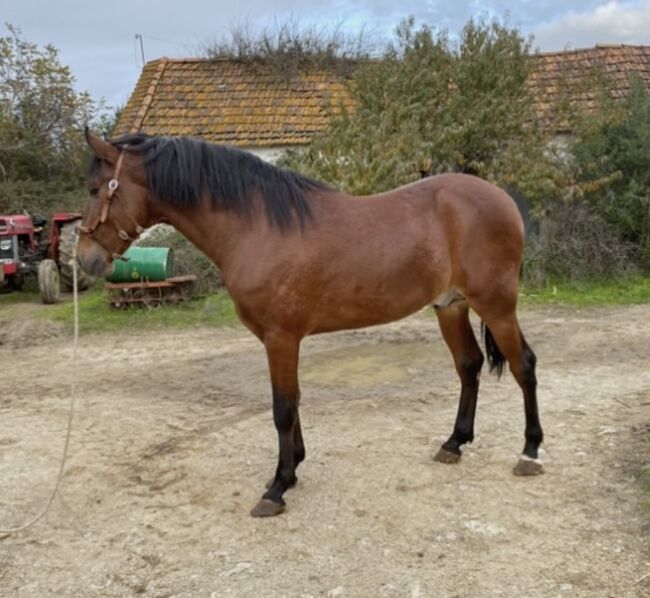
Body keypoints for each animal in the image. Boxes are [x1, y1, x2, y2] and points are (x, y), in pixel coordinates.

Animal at [78, 129, 544, 517]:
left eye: (96, 188)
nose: (84, 259)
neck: (259, 227)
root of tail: (501, 198)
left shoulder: (281, 338)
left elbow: (283, 408)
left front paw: (277, 488)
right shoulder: (281, 340)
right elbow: (295, 401)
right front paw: (292, 469)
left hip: (497, 306)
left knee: (523, 366)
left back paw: (530, 451)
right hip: (450, 306)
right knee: (469, 365)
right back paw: (454, 443)